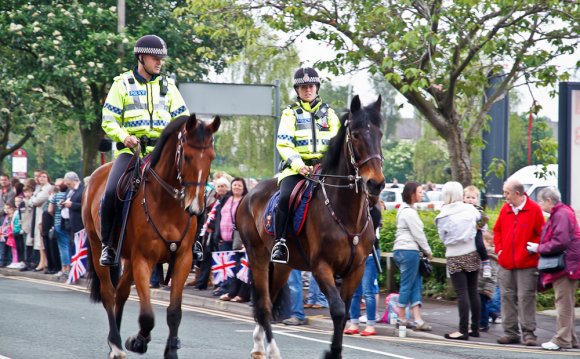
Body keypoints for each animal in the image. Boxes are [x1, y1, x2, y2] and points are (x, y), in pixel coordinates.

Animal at [80, 114, 219, 359]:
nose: (195, 207)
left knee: (121, 293)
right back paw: (115, 343)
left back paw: (115, 340)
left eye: (211, 157)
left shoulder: (183, 259)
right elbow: (146, 316)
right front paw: (138, 340)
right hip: (99, 248)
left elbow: (174, 312)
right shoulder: (143, 260)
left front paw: (169, 351)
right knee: (109, 294)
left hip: (128, 258)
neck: (167, 203)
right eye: (187, 156)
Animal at [236, 96, 386, 359]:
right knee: (264, 305)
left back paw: (258, 344)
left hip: (282, 266)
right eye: (356, 135)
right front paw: (332, 353)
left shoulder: (355, 270)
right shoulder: (321, 267)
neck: (346, 214)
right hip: (258, 257)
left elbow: (345, 313)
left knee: (270, 299)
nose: (375, 184)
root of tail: (249, 194)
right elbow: (337, 310)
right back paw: (271, 349)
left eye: (379, 134)